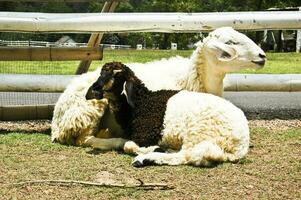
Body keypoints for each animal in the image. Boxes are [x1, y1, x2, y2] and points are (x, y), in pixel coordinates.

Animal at [90, 62, 250, 167]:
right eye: (101, 73)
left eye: (116, 75)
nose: (95, 89)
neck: (143, 101)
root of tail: (240, 145)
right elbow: (122, 142)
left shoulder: (145, 136)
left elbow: (128, 146)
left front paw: (152, 149)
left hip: (197, 133)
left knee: (186, 156)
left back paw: (146, 159)